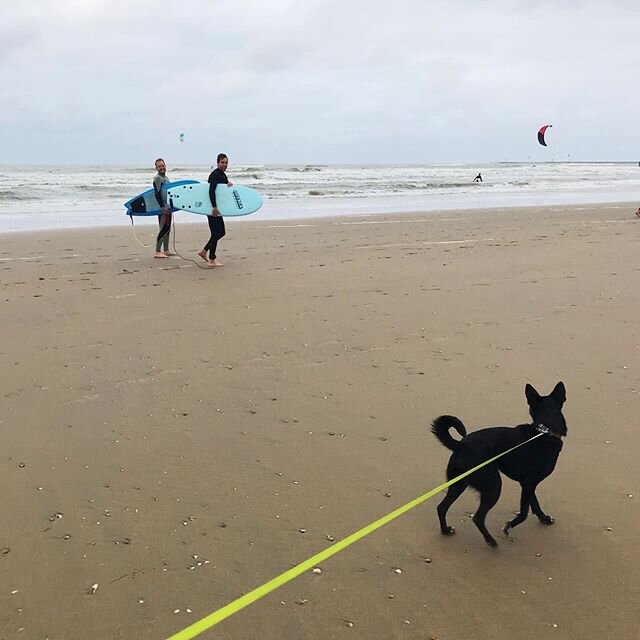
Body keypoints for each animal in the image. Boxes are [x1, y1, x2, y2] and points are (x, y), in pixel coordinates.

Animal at [432, 382, 568, 548]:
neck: (545, 431)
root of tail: (460, 445)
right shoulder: (529, 483)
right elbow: (524, 512)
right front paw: (509, 525)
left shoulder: (527, 484)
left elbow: (534, 504)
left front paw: (544, 519)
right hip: (493, 485)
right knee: (478, 517)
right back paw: (491, 541)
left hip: (459, 483)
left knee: (441, 507)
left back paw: (445, 530)